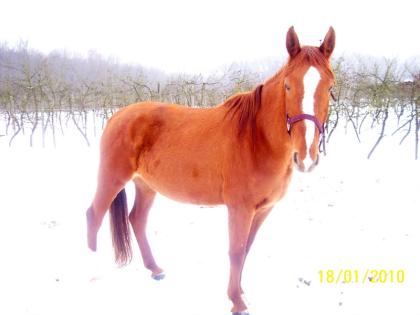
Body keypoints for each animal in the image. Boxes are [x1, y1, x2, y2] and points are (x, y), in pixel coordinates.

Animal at [85, 25, 334, 314]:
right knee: (94, 216)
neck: (256, 138)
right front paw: (237, 301)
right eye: (287, 85)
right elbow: (235, 252)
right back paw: (92, 272)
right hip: (112, 179)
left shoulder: (262, 210)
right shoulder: (240, 209)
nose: (305, 156)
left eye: (330, 87)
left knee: (137, 219)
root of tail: (118, 115)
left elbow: (246, 250)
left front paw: (240, 291)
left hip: (146, 185)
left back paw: (155, 269)